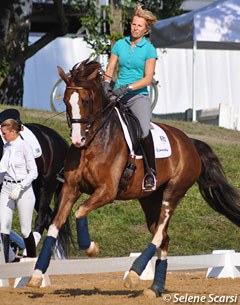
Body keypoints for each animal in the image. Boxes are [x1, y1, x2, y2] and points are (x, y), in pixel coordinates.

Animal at [28, 58, 240, 296]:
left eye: (86, 100)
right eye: (65, 101)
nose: (76, 140)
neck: (94, 141)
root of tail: (190, 143)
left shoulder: (107, 191)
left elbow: (80, 211)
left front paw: (91, 248)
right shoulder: (70, 188)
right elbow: (55, 225)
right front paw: (36, 275)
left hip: (173, 192)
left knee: (160, 233)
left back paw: (133, 274)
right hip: (150, 199)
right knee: (164, 237)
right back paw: (155, 288)